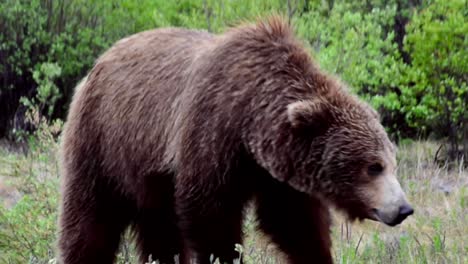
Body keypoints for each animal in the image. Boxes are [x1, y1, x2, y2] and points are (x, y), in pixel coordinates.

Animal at [57, 16, 414, 264]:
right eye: (373, 166)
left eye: (392, 162)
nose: (403, 208)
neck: (249, 123)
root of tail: (97, 64)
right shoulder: (210, 134)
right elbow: (211, 218)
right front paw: (225, 256)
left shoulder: (276, 171)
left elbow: (294, 223)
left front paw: (317, 254)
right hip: (104, 142)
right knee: (90, 221)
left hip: (148, 177)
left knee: (159, 231)